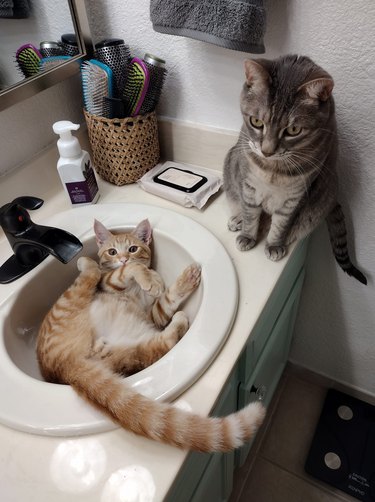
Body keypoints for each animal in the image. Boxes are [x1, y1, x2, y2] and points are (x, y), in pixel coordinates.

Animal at [35, 219, 264, 452]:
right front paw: (149, 279)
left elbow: (166, 298)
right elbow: (129, 270)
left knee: (162, 344)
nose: (123, 258)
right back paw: (84, 262)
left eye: (133, 248)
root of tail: (65, 369)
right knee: (92, 273)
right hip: (72, 300)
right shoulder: (109, 282)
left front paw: (176, 281)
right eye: (112, 251)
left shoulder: (154, 315)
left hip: (130, 350)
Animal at [223, 55, 368, 284]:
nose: (267, 151)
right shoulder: (249, 185)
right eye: (256, 121)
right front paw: (247, 235)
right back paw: (237, 219)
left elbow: (281, 224)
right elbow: (250, 213)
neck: (273, 170)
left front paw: (274, 244)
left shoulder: (295, 196)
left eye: (293, 130)